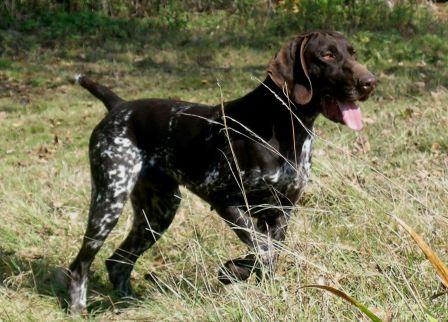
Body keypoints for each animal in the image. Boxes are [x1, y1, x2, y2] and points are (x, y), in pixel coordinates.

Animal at [67, 31, 374, 314]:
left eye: (353, 52)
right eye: (327, 55)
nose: (370, 82)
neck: (283, 126)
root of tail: (120, 105)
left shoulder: (280, 211)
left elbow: (270, 253)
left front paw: (246, 277)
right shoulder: (225, 200)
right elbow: (263, 251)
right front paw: (235, 270)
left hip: (158, 212)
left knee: (118, 262)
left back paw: (129, 304)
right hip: (109, 200)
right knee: (80, 264)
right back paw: (78, 308)